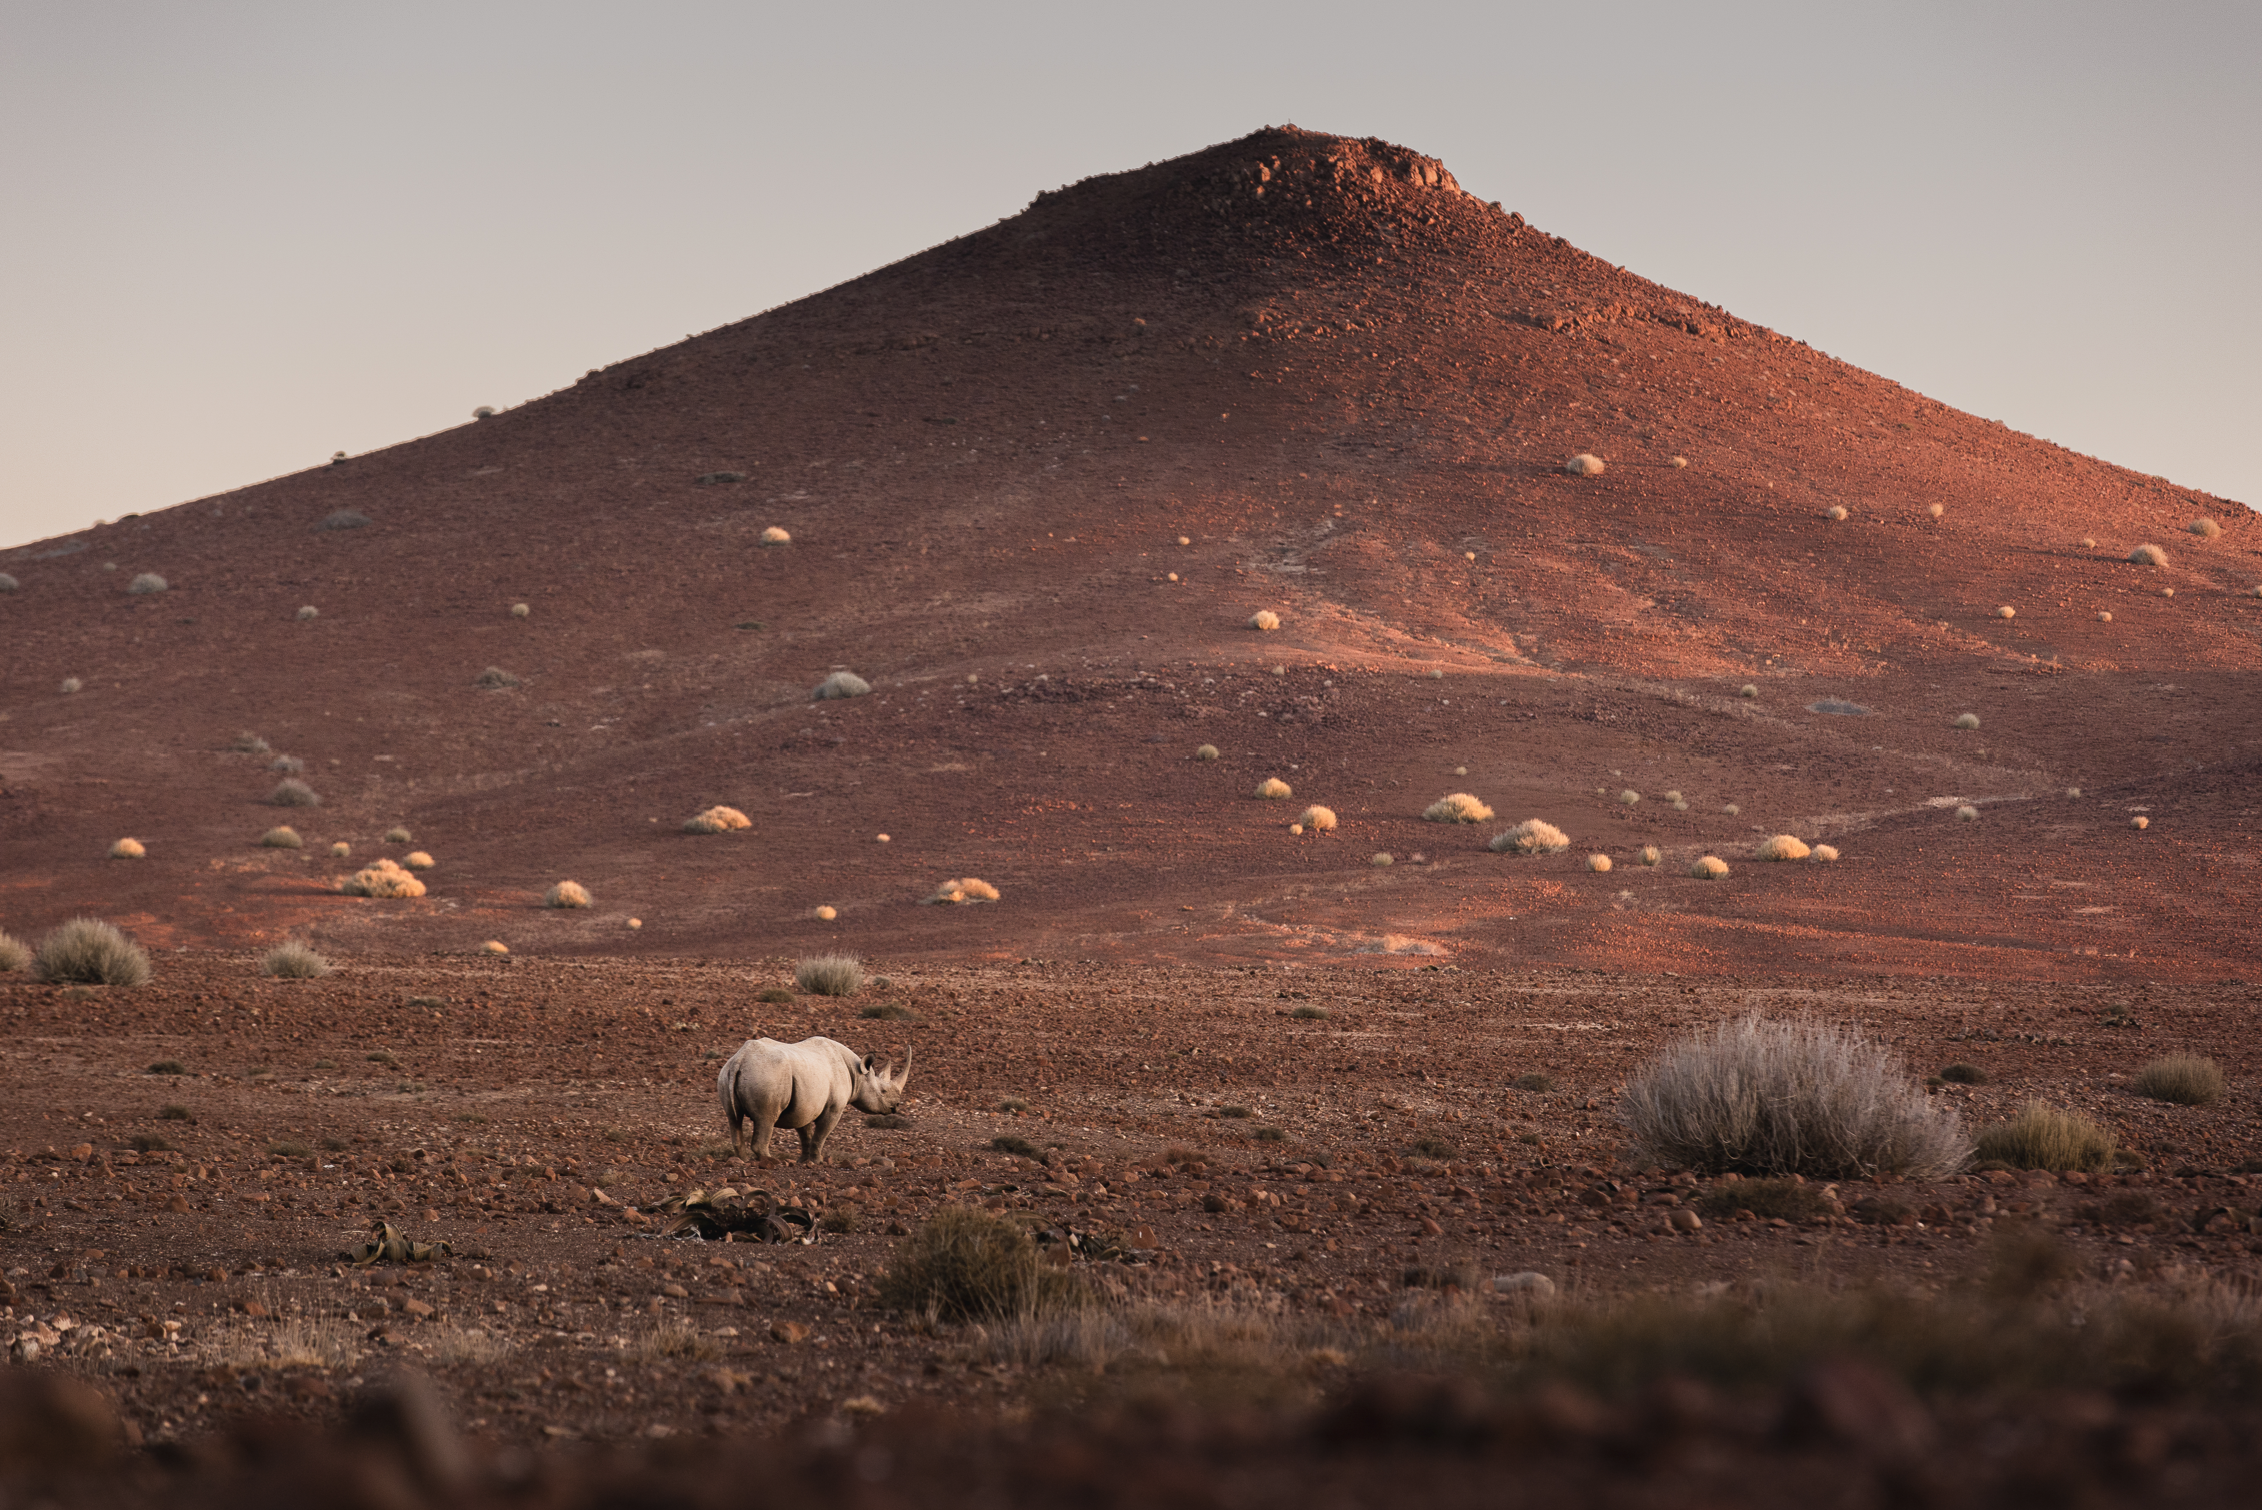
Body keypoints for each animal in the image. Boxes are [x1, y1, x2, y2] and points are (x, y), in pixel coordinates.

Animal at [717, 1036, 911, 1163]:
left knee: (734, 1118)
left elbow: (805, 1133)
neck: (858, 1075)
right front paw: (819, 1161)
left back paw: (744, 1160)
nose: (895, 1106)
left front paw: (804, 1161)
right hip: (767, 1075)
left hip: (726, 1074)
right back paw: (772, 1162)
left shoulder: (804, 1104)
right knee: (766, 1118)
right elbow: (821, 1134)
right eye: (883, 1091)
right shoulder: (834, 1108)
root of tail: (741, 1058)